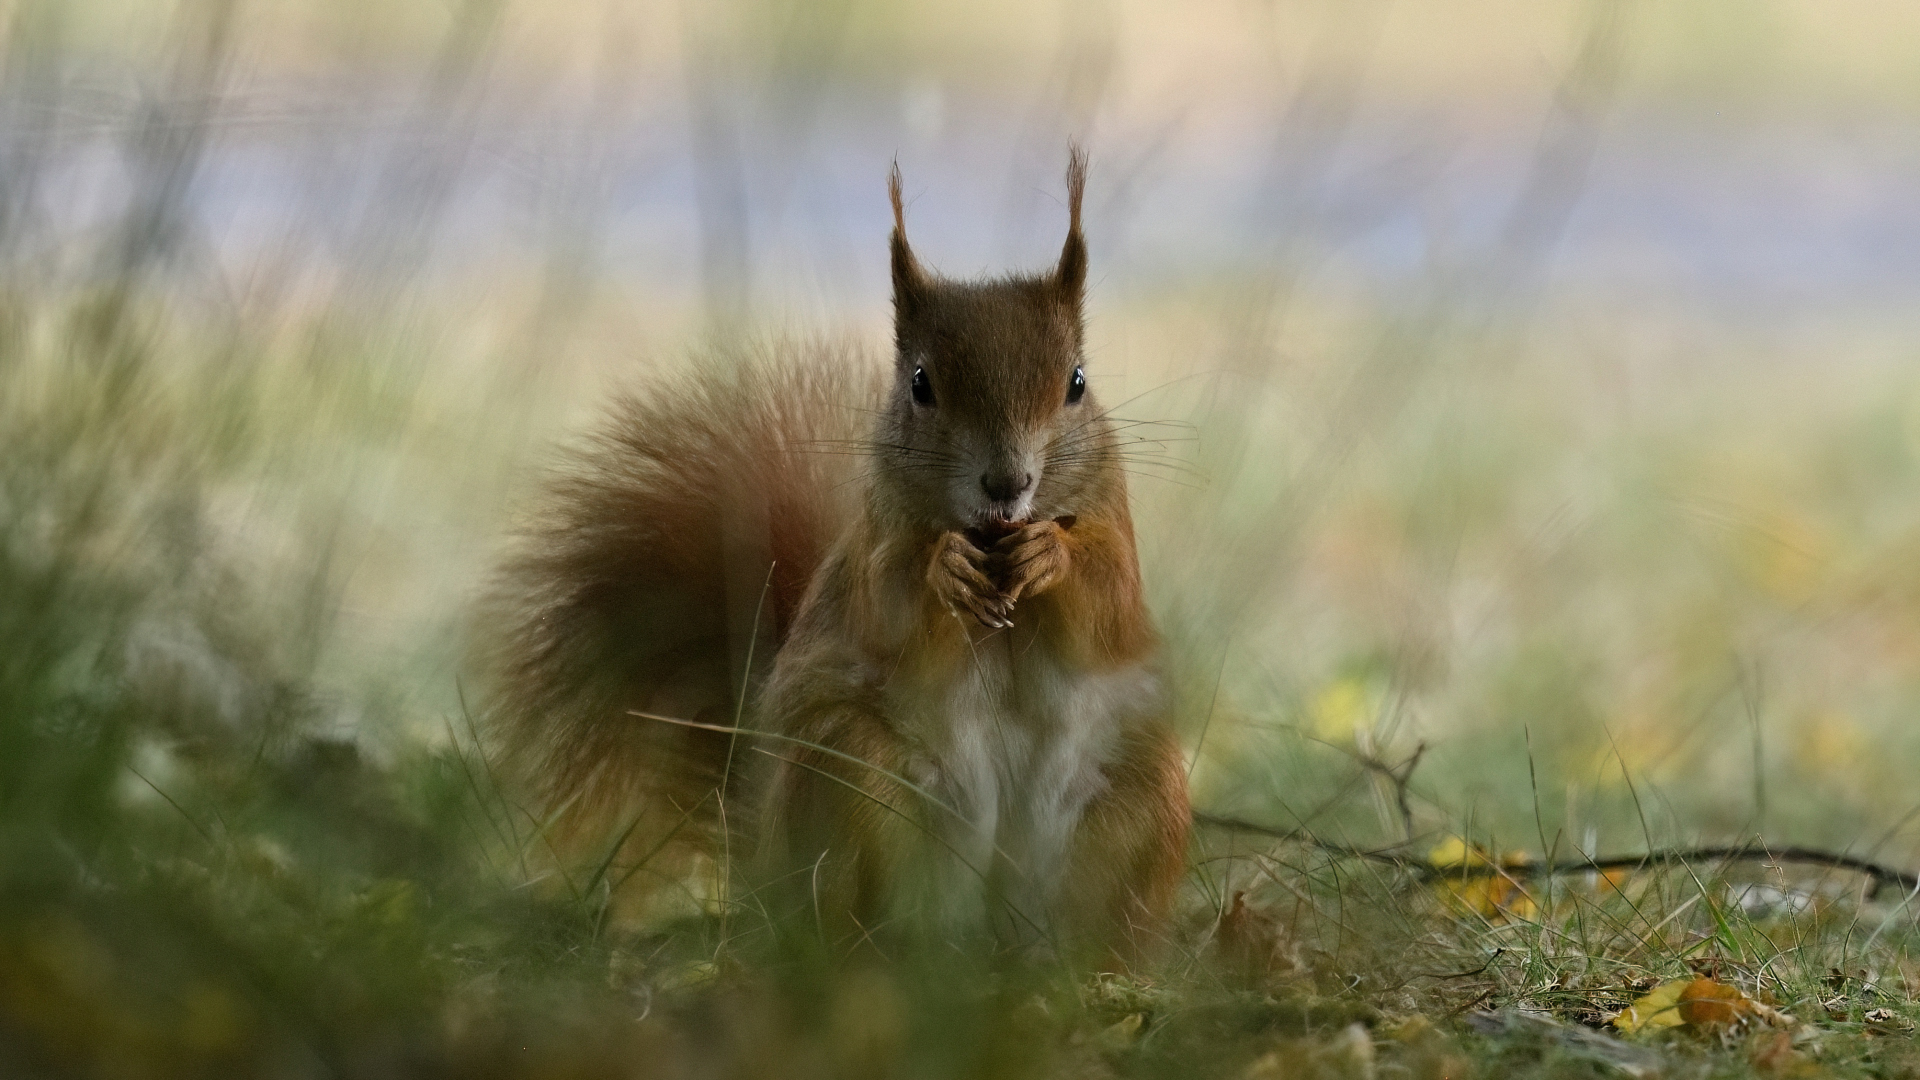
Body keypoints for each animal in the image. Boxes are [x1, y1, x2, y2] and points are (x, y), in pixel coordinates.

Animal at [483, 147, 1182, 960]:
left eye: (1076, 382)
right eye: (920, 384)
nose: (1007, 485)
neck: (991, 539)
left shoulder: (1114, 525)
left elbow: (1108, 607)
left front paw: (1051, 556)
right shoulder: (874, 542)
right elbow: (894, 611)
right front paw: (943, 569)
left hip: (1139, 798)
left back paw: (1082, 964)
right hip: (852, 780)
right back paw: (873, 952)